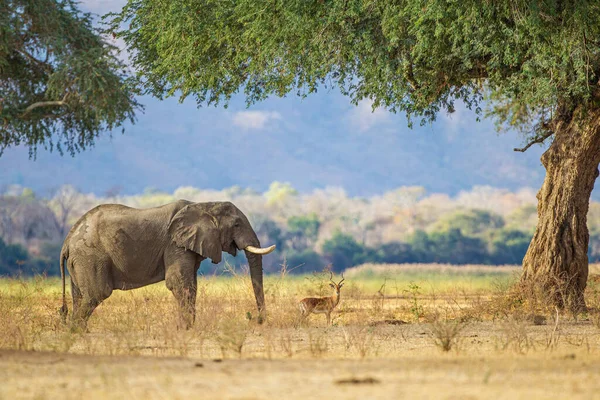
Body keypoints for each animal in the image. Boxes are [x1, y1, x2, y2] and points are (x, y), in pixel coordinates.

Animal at [59, 200, 276, 328]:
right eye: (237, 225)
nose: (258, 320)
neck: (204, 205)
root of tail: (67, 241)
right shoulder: (174, 243)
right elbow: (179, 282)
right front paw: (187, 329)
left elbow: (190, 285)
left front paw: (186, 328)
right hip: (90, 256)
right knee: (97, 293)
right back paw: (77, 331)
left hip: (80, 262)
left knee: (79, 296)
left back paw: (77, 332)